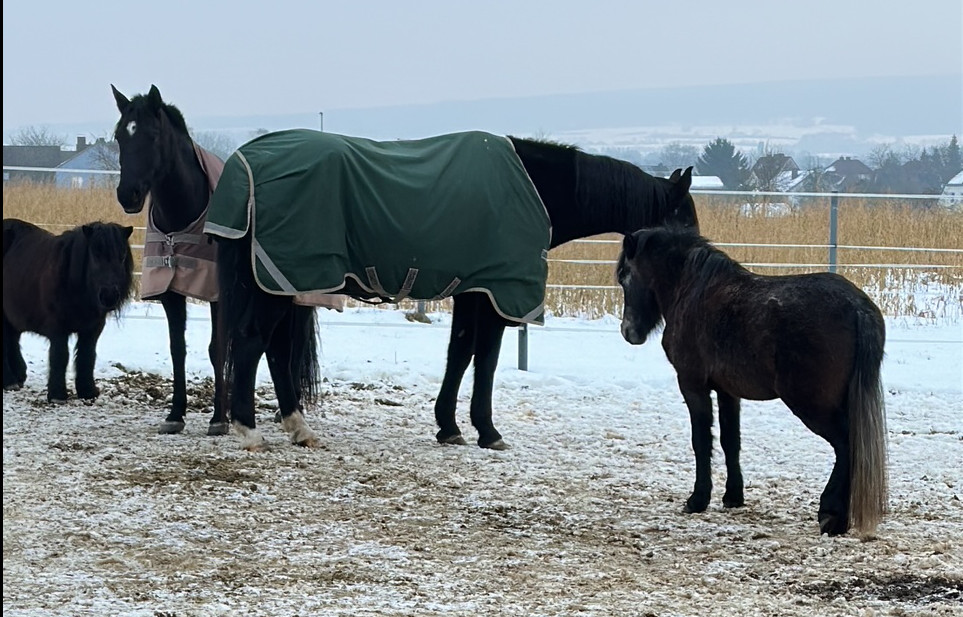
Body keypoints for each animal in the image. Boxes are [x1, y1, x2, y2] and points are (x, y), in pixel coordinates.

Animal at [3, 219, 135, 401]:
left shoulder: (92, 328)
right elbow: (60, 356)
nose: (109, 296)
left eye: (122, 256)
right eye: (95, 254)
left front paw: (88, 391)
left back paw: (17, 377)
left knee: (12, 339)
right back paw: (9, 380)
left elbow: (87, 356)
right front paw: (57, 394)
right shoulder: (58, 328)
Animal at [111, 84, 229, 435]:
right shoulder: (169, 291)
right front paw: (176, 413)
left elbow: (217, 348)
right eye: (120, 136)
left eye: (152, 135)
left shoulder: (217, 294)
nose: (128, 195)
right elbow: (178, 348)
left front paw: (219, 418)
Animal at [204, 129, 699, 451]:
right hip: (276, 284)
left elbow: (460, 354)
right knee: (251, 343)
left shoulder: (473, 291)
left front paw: (449, 426)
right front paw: (487, 431)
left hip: (283, 283)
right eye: (684, 214)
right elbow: (486, 360)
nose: (695, 258)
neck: (536, 188)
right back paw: (249, 431)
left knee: (274, 351)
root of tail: (243, 165)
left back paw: (298, 428)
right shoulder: (497, 294)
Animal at [617, 225, 888, 536]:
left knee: (845, 446)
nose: (629, 331)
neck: (692, 290)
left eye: (624, 276)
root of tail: (857, 307)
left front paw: (697, 499)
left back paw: (831, 515)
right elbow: (730, 441)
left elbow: (701, 441)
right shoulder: (727, 391)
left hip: (812, 405)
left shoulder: (692, 385)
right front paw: (733, 496)